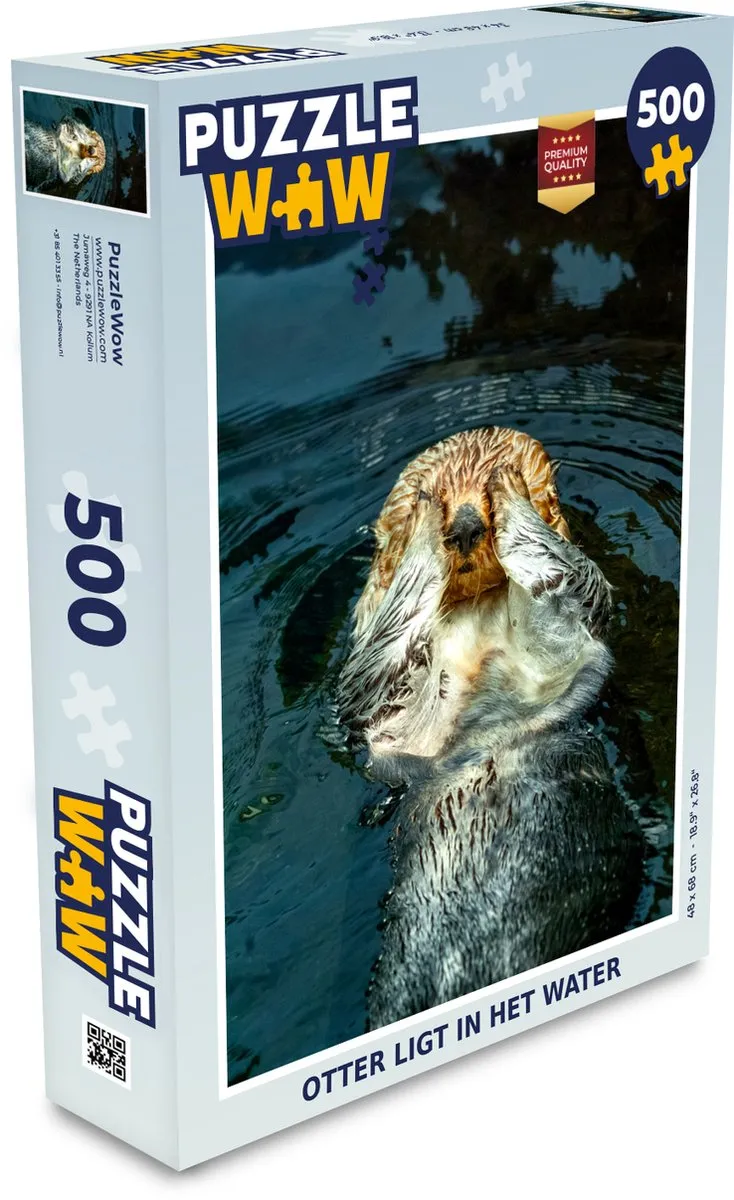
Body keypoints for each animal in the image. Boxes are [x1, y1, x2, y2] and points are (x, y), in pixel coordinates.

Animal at [338, 427, 643, 1030]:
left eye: (480, 492)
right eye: (429, 491)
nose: (465, 524)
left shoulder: (570, 625)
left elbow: (562, 574)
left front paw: (512, 490)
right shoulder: (377, 702)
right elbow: (384, 647)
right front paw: (425, 525)